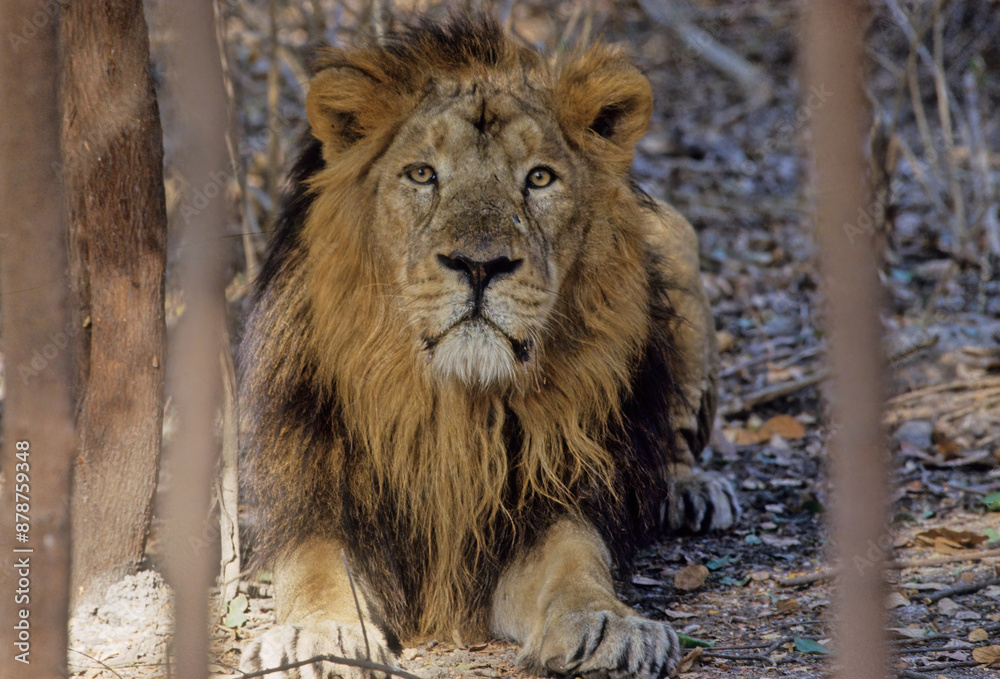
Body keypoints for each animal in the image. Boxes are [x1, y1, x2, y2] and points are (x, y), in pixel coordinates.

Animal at [238, 15, 738, 679]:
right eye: (423, 174)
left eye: (539, 177)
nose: (480, 266)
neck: (451, 407)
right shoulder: (320, 495)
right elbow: (316, 569)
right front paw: (316, 637)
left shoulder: (550, 503)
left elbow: (577, 563)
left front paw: (610, 627)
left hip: (675, 238)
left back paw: (688, 492)